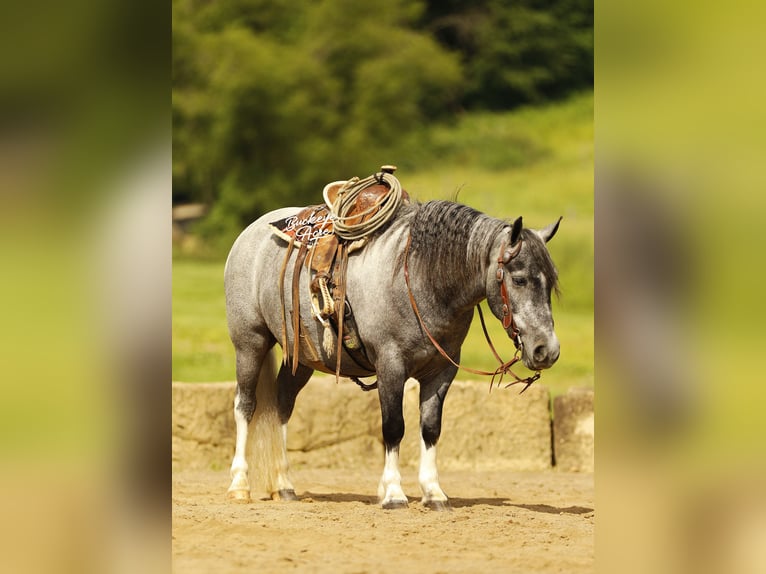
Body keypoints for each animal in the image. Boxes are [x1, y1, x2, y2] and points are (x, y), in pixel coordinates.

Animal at [224, 196, 561, 510]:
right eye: (519, 279)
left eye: (551, 283)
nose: (547, 350)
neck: (421, 279)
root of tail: (250, 233)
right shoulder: (391, 366)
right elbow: (393, 427)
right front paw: (394, 493)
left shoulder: (441, 371)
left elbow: (430, 428)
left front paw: (433, 492)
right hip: (250, 342)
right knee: (246, 405)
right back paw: (239, 485)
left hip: (302, 356)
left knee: (282, 404)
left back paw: (283, 485)